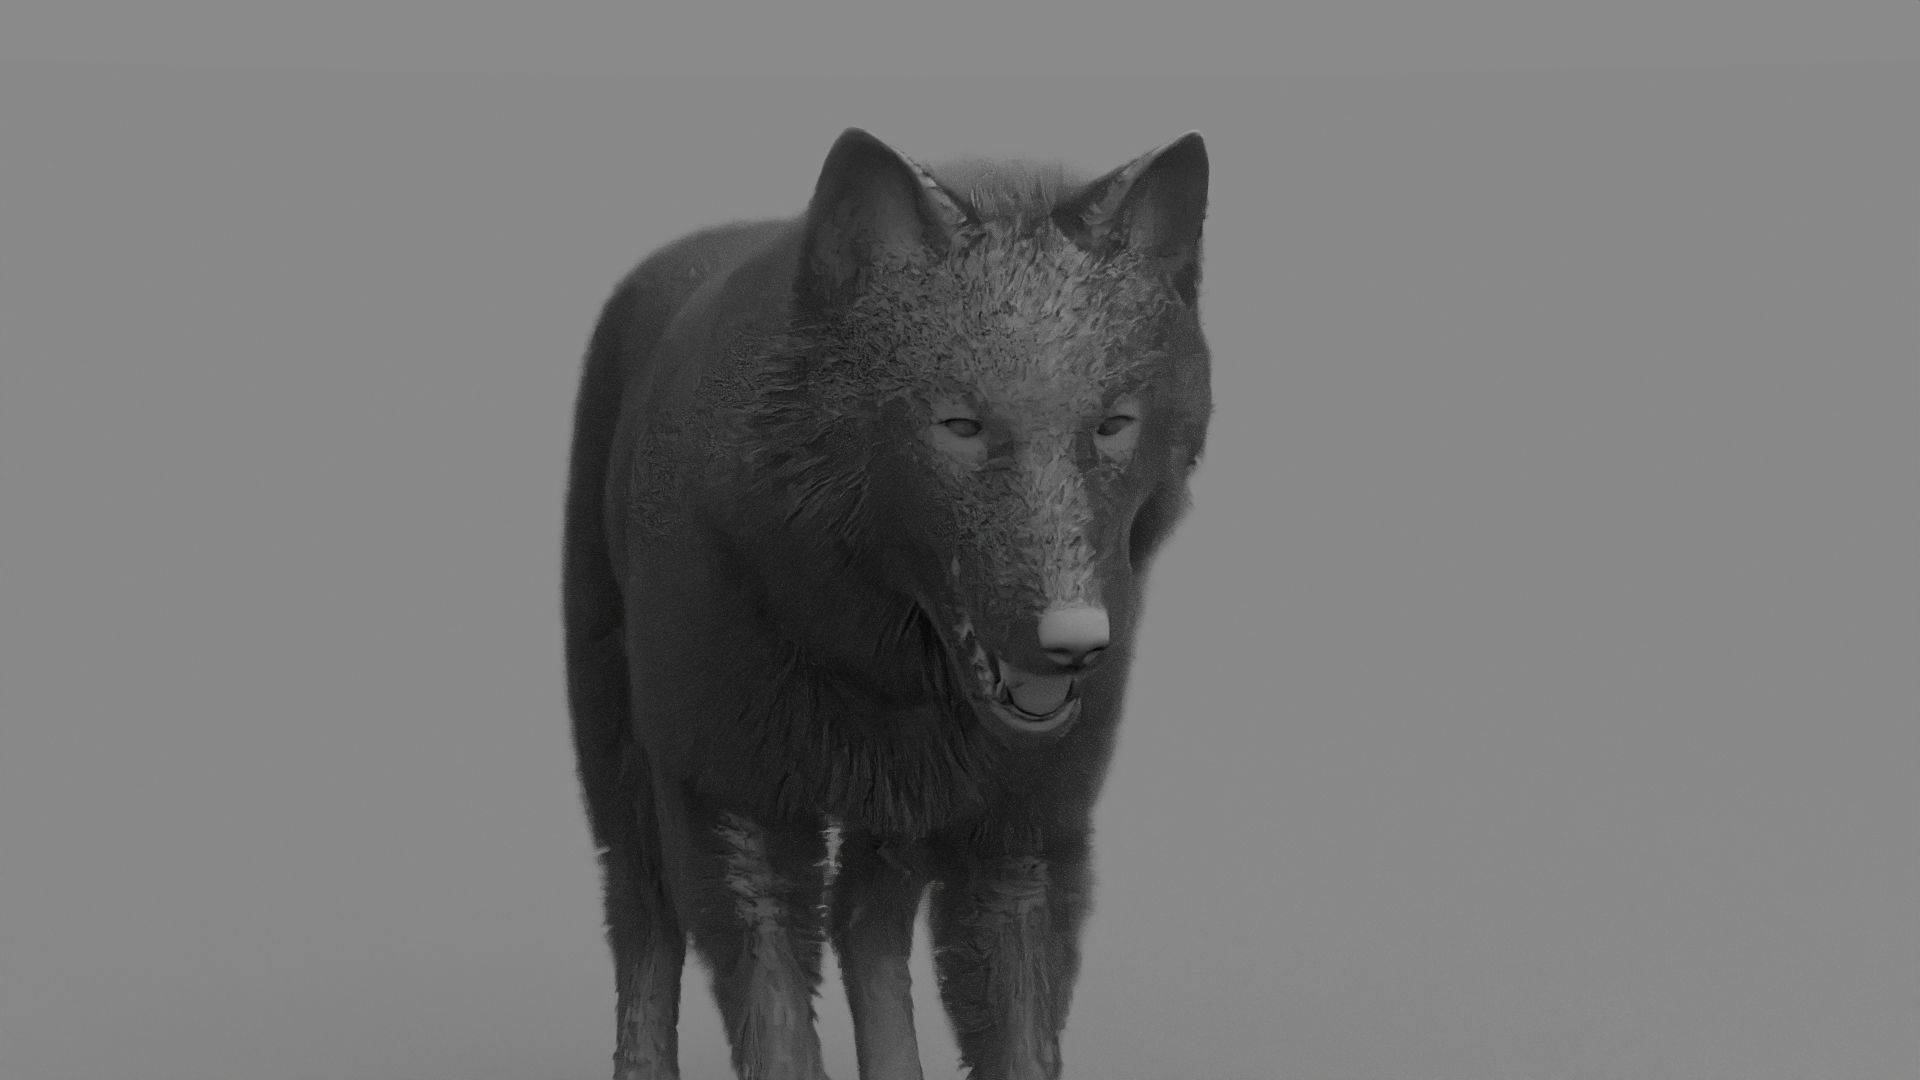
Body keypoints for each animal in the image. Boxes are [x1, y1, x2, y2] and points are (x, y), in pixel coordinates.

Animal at [562, 126, 1212, 1080]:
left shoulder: (1023, 839)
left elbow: (1017, 1036)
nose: (1076, 642)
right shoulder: (735, 811)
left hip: (892, 820)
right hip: (618, 757)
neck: (884, 670)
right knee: (640, 914)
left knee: (864, 922)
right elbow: (779, 1030)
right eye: (962, 427)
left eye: (1111, 425)